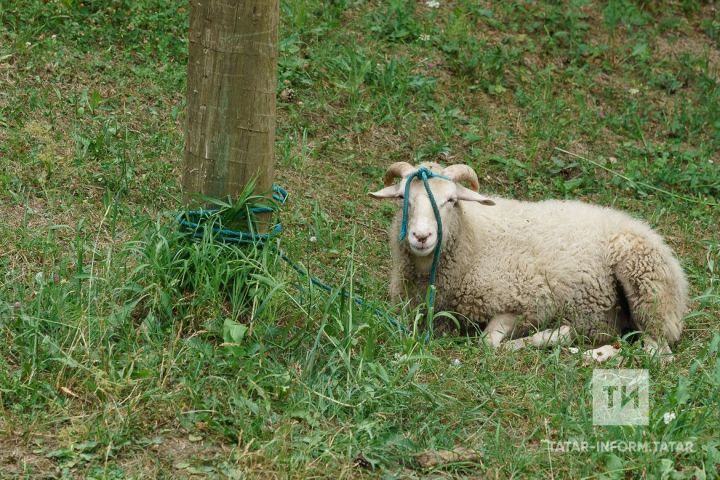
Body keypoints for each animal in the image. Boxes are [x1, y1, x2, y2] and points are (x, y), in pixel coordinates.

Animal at [368, 160, 688, 360]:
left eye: (451, 200)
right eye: (403, 199)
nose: (421, 236)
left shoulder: (525, 304)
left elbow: (489, 344)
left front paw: (556, 335)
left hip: (648, 290)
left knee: (656, 351)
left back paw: (592, 354)